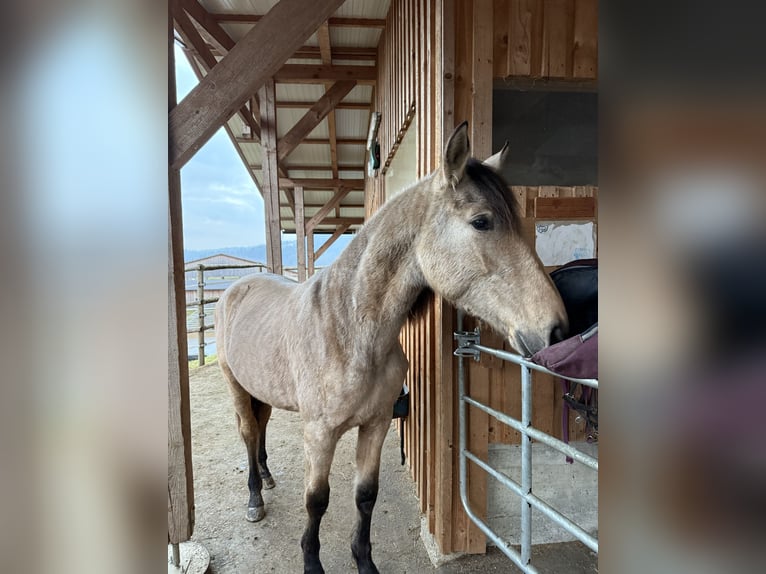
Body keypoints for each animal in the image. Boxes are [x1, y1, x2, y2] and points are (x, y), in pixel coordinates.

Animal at [216, 122, 568, 574]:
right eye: (481, 222)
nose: (556, 329)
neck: (350, 332)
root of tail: (237, 287)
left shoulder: (377, 424)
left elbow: (366, 495)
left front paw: (365, 562)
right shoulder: (319, 433)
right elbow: (316, 501)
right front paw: (312, 563)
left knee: (260, 427)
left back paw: (266, 476)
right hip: (235, 385)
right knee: (247, 431)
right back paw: (255, 498)